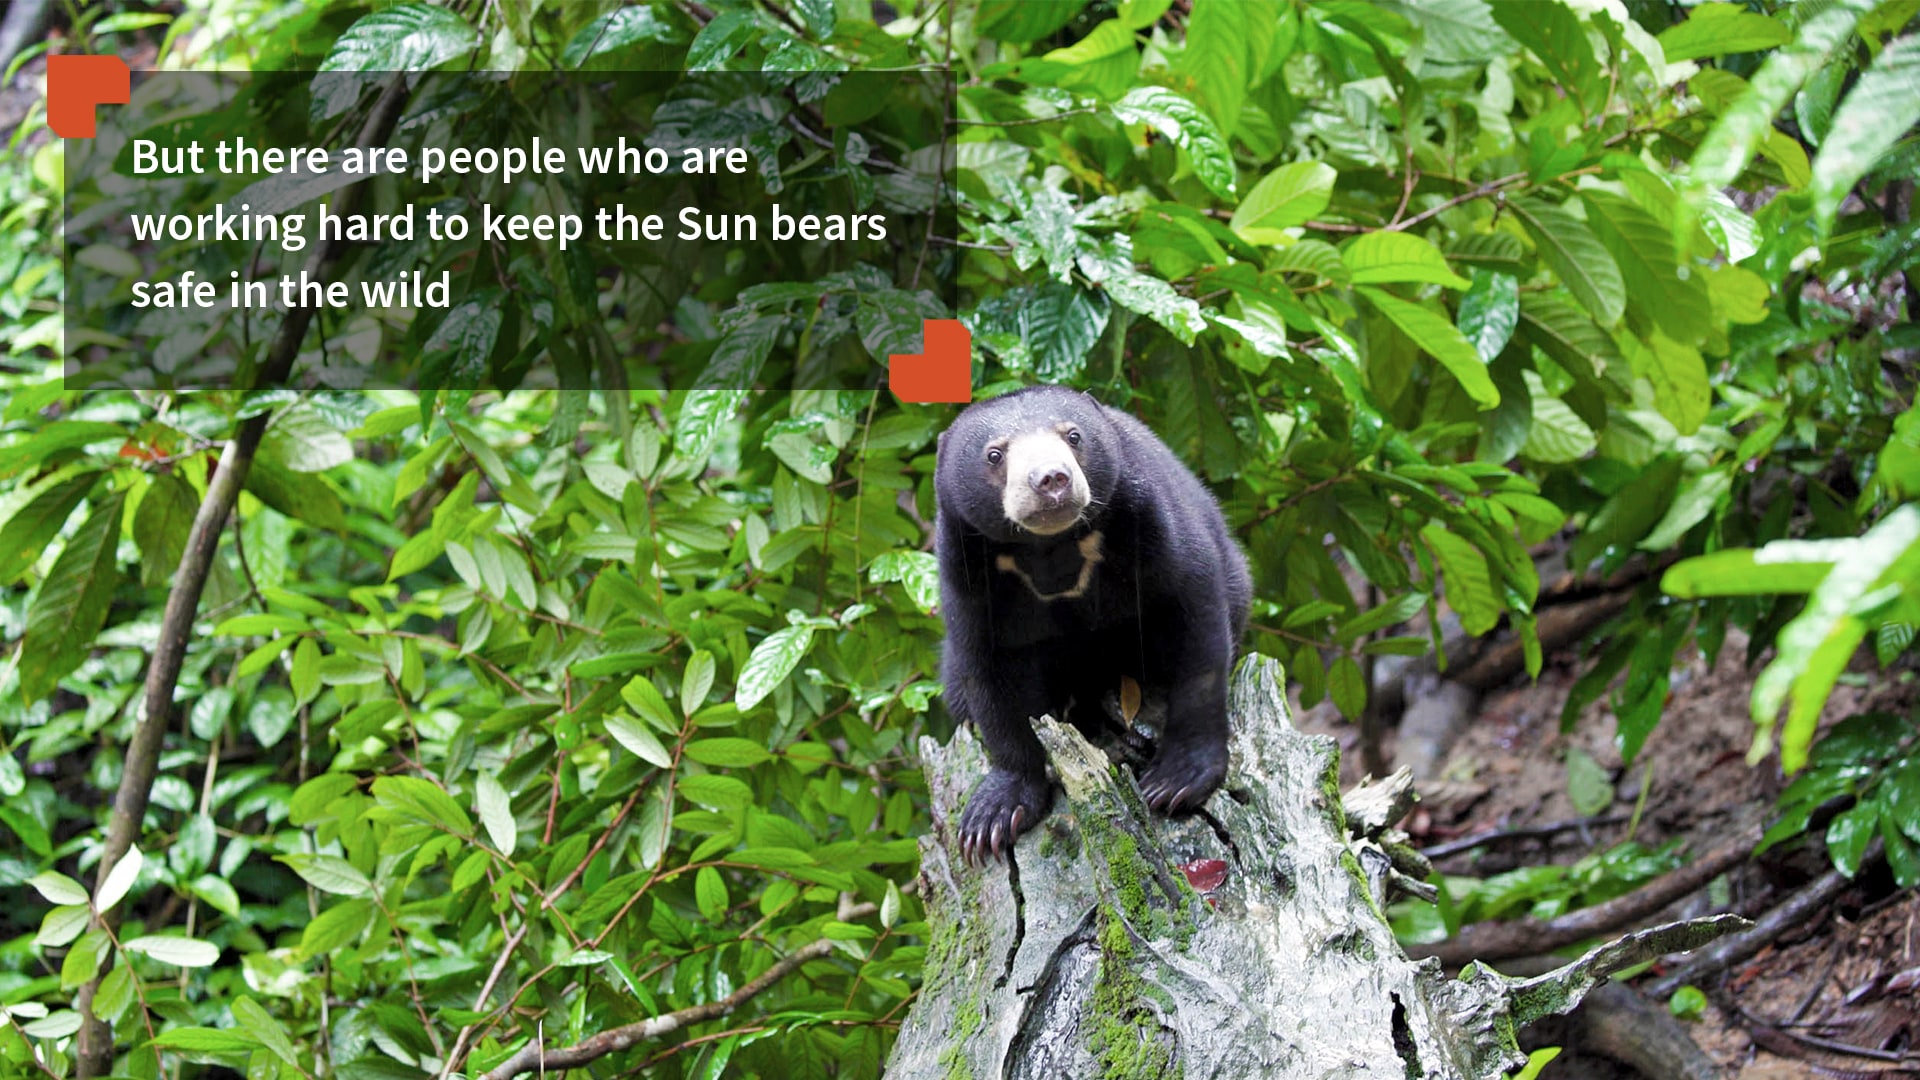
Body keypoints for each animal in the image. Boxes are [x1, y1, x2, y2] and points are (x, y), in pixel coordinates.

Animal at [934, 385, 1251, 862]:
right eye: (994, 454)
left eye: (1073, 435)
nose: (1051, 479)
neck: (1050, 548)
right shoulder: (968, 570)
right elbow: (990, 673)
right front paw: (992, 819)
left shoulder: (1149, 520)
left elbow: (1194, 626)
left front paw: (1176, 782)